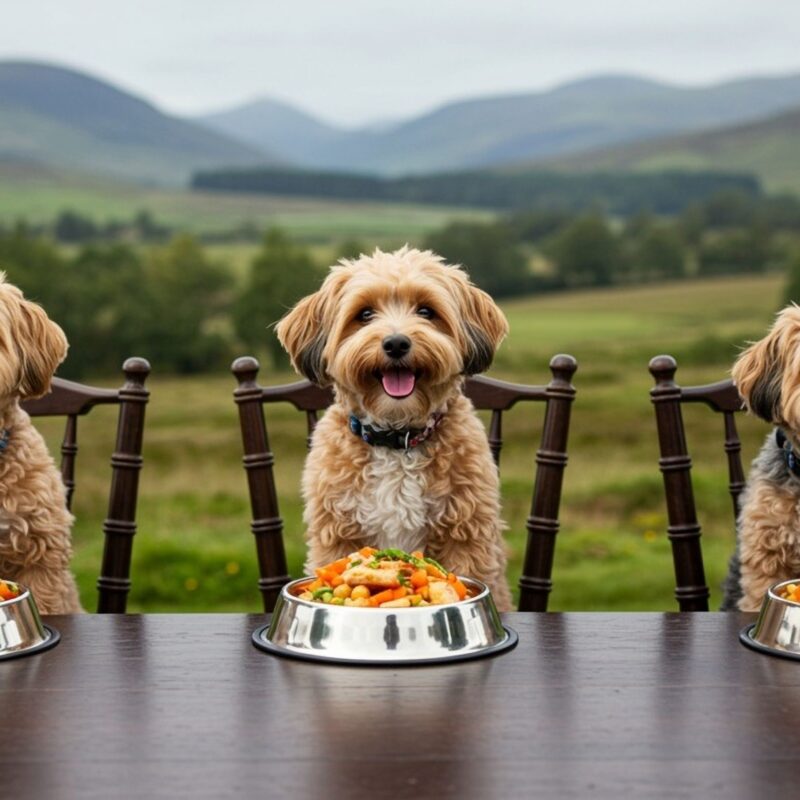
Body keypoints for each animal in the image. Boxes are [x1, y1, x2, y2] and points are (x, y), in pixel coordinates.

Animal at [276, 247, 512, 608]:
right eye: (365, 314)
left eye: (426, 311)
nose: (397, 344)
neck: (397, 438)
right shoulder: (338, 531)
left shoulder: (465, 531)